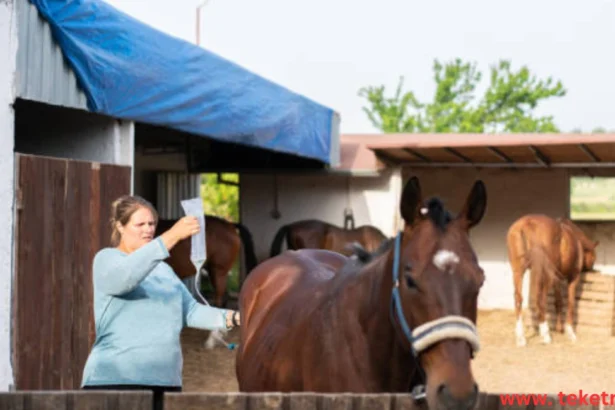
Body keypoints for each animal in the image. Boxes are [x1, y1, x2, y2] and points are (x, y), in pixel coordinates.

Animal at [508, 215, 600, 346]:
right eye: (593, 256)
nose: (592, 269)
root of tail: (526, 223)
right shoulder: (573, 278)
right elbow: (570, 303)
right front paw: (570, 332)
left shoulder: (557, 279)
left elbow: (558, 302)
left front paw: (559, 328)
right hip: (546, 276)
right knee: (540, 298)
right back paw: (545, 335)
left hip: (518, 272)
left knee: (518, 299)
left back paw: (521, 338)